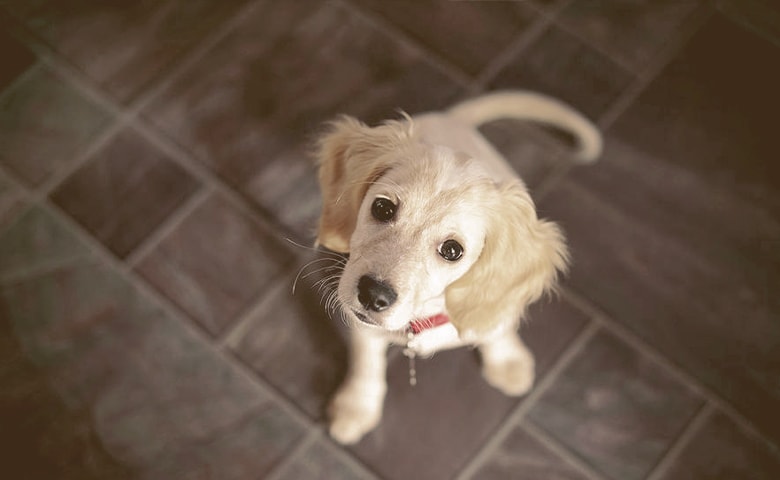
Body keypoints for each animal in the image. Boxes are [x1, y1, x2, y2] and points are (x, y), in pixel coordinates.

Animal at [314, 92, 600, 444]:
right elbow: (366, 361)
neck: (422, 321)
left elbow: (497, 326)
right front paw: (356, 407)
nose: (373, 295)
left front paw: (508, 360)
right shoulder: (363, 326)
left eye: (452, 251)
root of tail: (452, 120)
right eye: (382, 207)